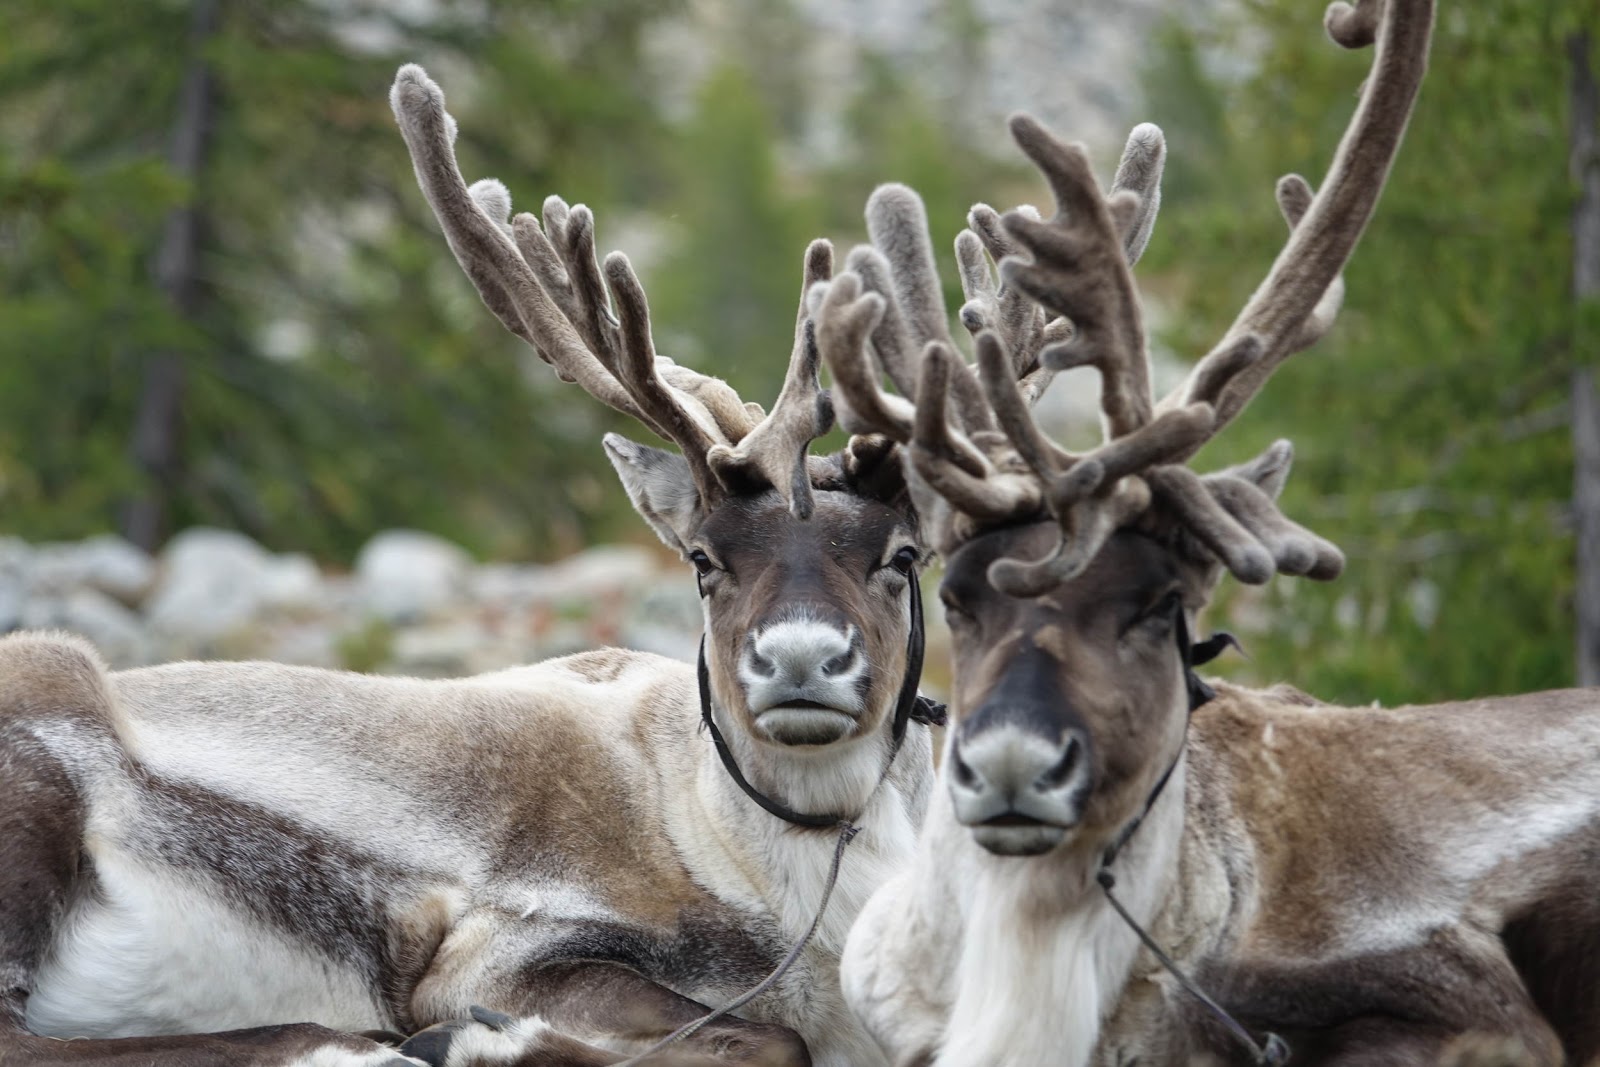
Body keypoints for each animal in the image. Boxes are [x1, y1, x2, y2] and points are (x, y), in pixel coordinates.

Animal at [0, 62, 987, 1067]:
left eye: (903, 555)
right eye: (705, 557)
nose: (800, 659)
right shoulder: (496, 951)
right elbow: (766, 1037)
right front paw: (486, 1037)